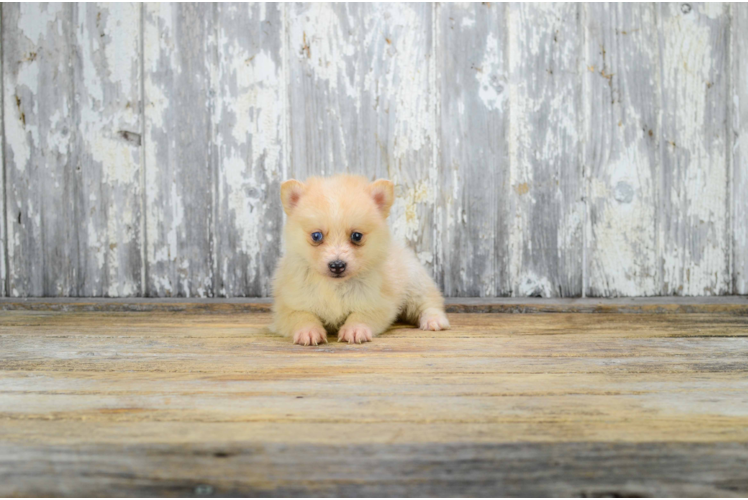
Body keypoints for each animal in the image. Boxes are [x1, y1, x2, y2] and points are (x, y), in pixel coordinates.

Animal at [270, 175, 450, 344]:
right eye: (316, 236)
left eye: (356, 236)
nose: (337, 265)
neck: (335, 286)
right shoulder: (289, 305)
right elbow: (302, 316)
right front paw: (308, 331)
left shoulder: (376, 302)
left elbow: (361, 315)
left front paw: (355, 330)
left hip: (415, 284)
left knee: (429, 302)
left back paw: (433, 320)